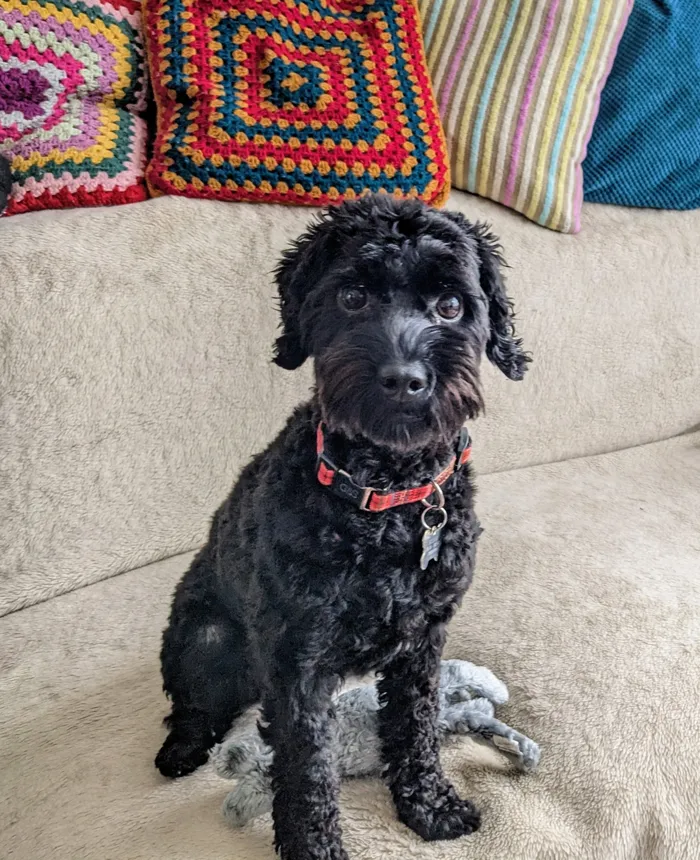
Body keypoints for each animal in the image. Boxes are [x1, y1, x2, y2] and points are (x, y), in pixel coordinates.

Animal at [156, 197, 528, 860]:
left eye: (451, 305)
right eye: (352, 297)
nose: (404, 378)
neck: (388, 501)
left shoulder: (421, 640)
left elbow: (416, 724)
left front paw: (428, 804)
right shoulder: (297, 659)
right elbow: (307, 765)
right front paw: (315, 847)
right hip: (204, 635)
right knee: (193, 704)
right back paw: (182, 748)